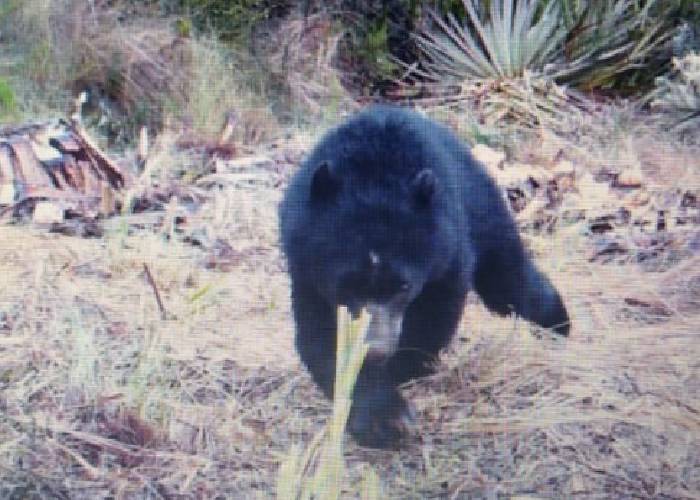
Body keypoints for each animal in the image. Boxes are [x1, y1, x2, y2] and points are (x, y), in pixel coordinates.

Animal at [279, 105, 569, 449]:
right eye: (345, 284)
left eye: (403, 286)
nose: (376, 349)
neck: (372, 174)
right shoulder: (305, 264)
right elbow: (323, 335)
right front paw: (384, 418)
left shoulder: (447, 246)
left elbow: (433, 314)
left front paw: (402, 373)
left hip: (483, 206)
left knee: (509, 281)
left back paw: (559, 325)